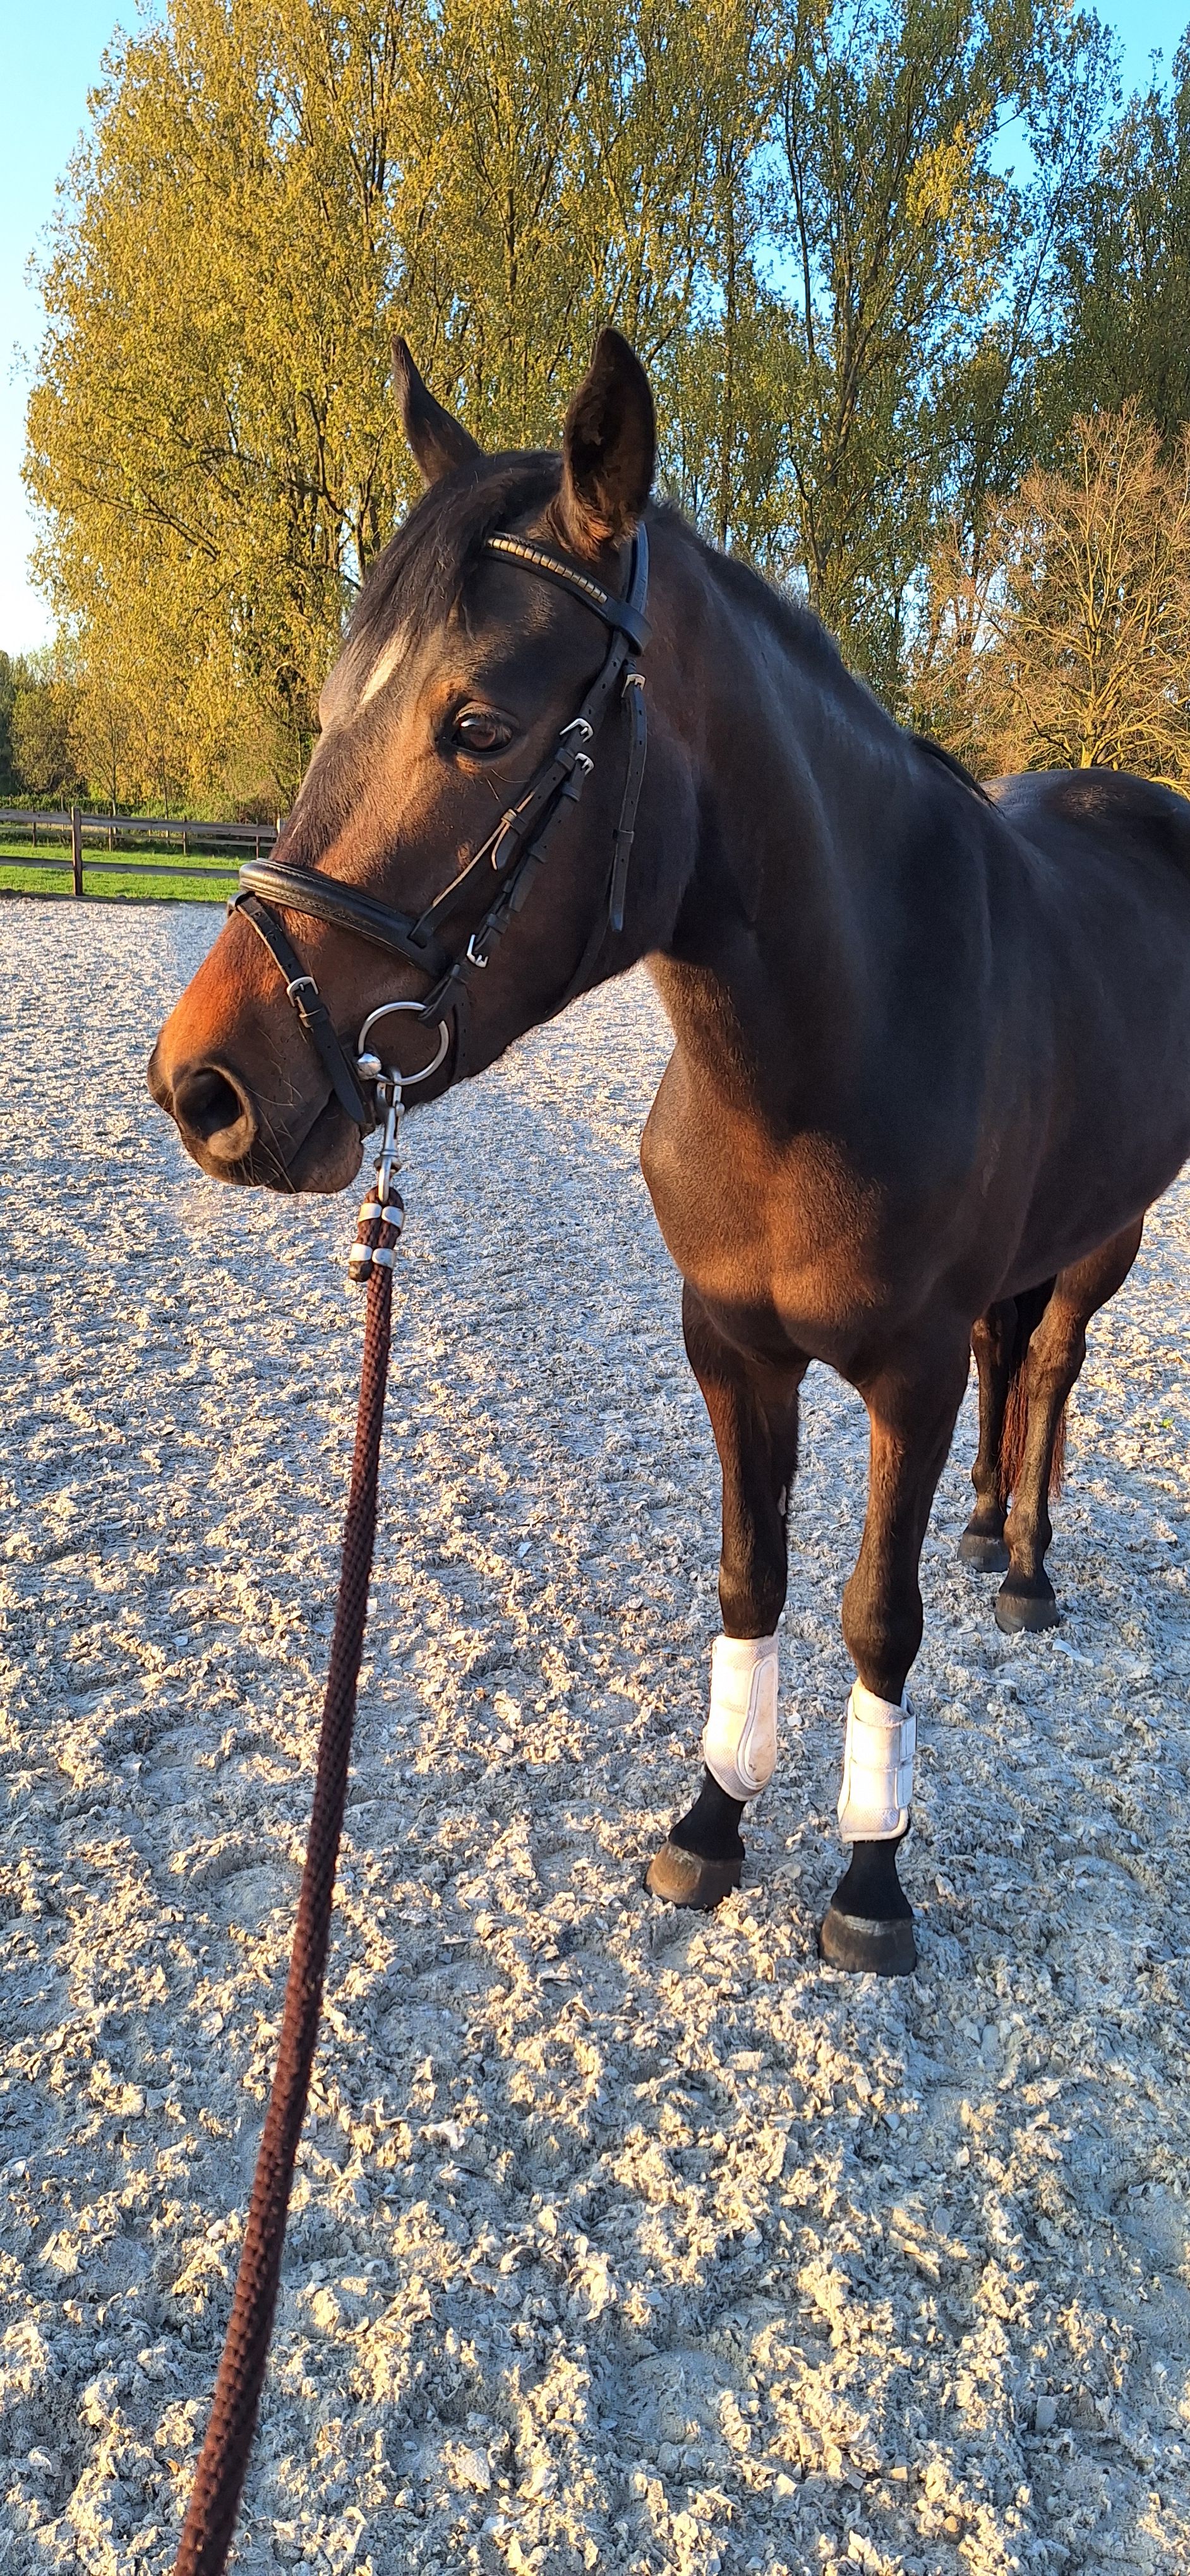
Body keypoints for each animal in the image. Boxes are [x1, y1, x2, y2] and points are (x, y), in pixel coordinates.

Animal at [147, 328, 1190, 1976]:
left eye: (480, 726)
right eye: (327, 708)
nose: (205, 1086)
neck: (831, 1051)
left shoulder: (905, 1375)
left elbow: (875, 1613)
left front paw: (871, 1876)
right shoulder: (730, 1345)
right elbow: (750, 1576)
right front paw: (713, 1821)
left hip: (1113, 1232)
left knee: (1050, 1367)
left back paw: (1023, 1565)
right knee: (1012, 1352)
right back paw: (983, 1534)